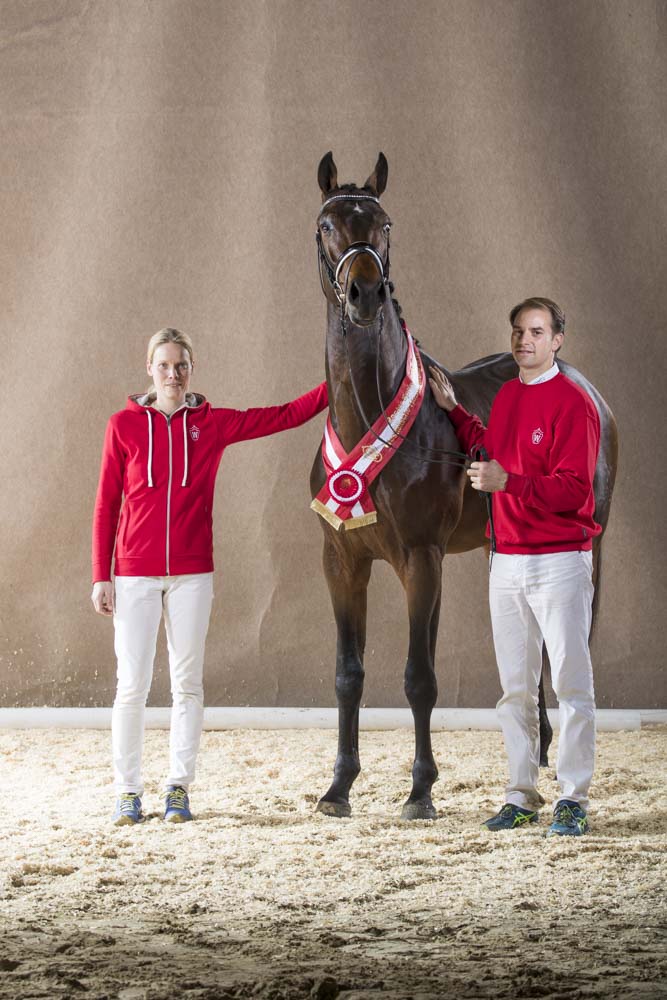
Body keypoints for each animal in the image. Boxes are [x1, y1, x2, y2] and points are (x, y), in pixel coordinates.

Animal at [309, 151, 618, 820]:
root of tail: (581, 381)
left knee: (572, 645)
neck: (371, 416)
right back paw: (540, 751)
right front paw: (339, 788)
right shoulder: (342, 561)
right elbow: (348, 674)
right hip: (504, 549)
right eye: (326, 224)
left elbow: (419, 677)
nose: (365, 292)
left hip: (590, 544)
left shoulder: (422, 559)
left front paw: (420, 791)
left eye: (385, 224)